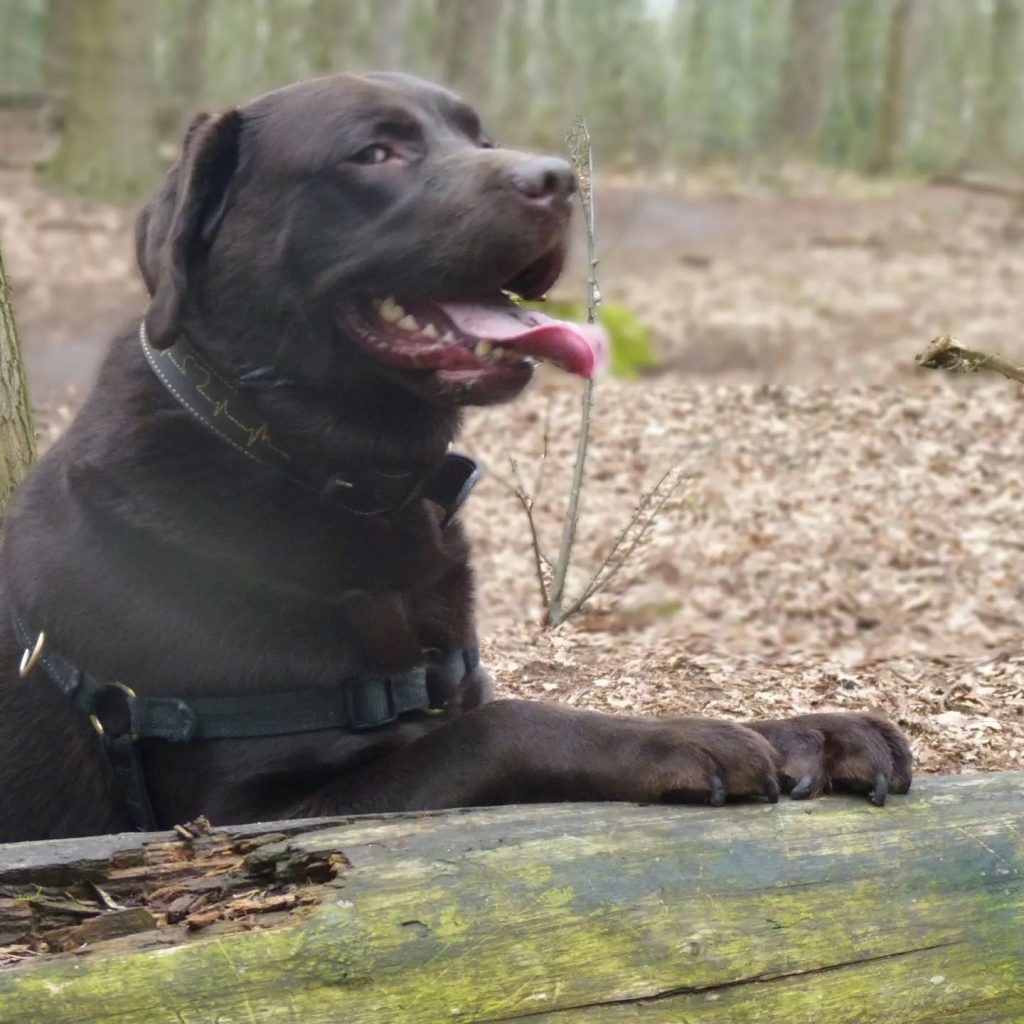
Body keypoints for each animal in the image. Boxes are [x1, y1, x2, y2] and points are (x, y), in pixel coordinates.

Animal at [0, 70, 913, 839]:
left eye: (480, 138)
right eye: (375, 152)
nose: (559, 180)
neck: (337, 477)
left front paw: (810, 733)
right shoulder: (241, 813)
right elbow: (509, 725)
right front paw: (689, 739)